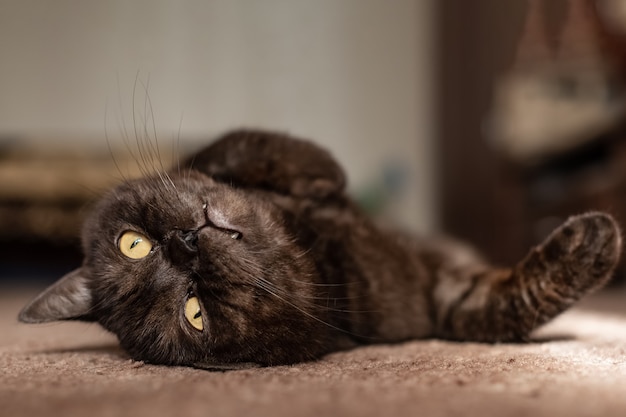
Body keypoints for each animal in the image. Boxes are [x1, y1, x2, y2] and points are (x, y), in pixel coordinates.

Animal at [18, 129, 620, 368]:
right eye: (194, 311)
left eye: (134, 245)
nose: (186, 243)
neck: (307, 246)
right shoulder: (438, 299)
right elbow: (512, 303)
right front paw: (597, 240)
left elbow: (226, 146)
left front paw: (316, 173)